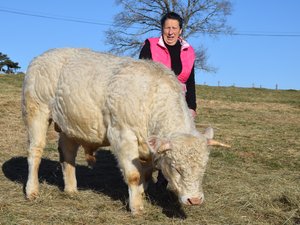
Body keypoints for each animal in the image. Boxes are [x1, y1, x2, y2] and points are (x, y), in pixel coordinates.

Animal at [22, 48, 212, 214]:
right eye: (176, 168)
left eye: (203, 168)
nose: (195, 200)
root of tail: (43, 56)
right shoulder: (123, 135)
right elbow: (134, 175)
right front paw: (136, 207)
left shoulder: (149, 150)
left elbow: (146, 175)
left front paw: (140, 195)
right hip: (37, 111)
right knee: (35, 151)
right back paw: (32, 191)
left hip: (70, 126)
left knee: (67, 153)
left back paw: (71, 189)